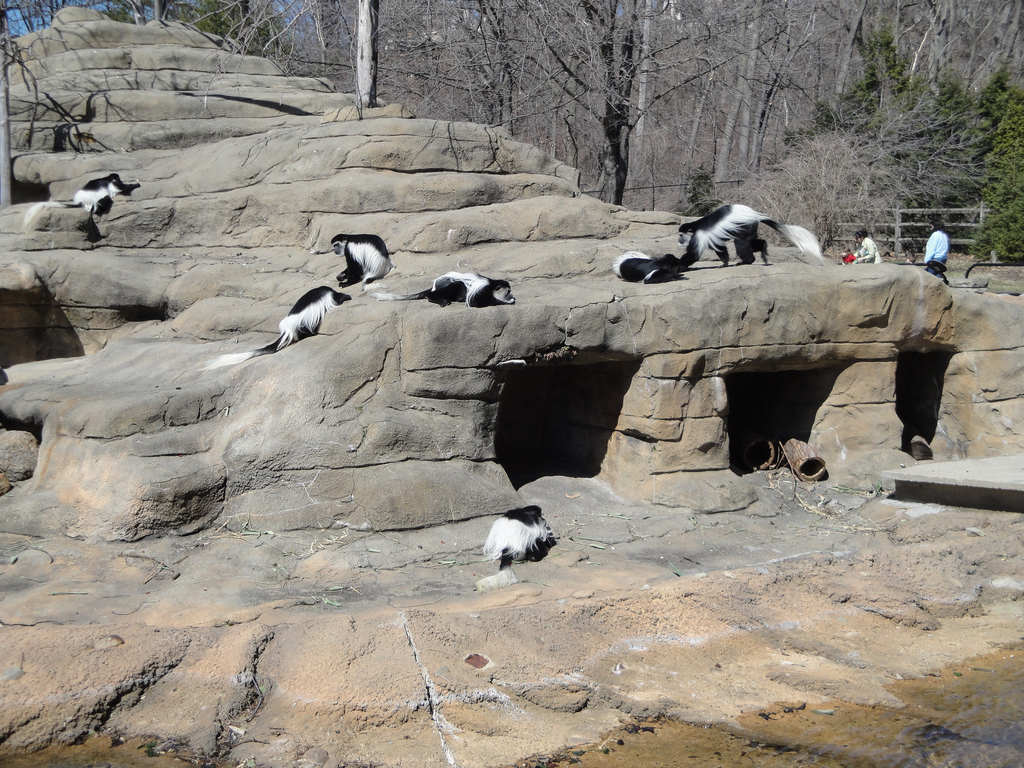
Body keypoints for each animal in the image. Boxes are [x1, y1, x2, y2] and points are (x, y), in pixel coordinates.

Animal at [201, 286, 351, 370]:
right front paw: (347, 297)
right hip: (303, 323)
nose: (348, 296)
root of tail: (287, 328)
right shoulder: (332, 296)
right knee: (305, 330)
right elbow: (337, 298)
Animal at [372, 272, 516, 308]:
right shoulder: (482, 291)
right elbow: (478, 302)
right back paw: (440, 300)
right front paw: (507, 301)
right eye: (508, 291)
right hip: (452, 286)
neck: (492, 287)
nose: (511, 296)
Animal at [677, 204, 823, 268]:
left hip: (745, 226)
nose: (678, 241)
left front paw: (680, 265)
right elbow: (721, 249)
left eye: (681, 235)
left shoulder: (700, 236)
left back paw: (746, 261)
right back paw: (763, 248)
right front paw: (725, 263)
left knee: (741, 243)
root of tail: (755, 214)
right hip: (751, 228)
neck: (695, 227)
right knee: (752, 242)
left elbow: (694, 254)